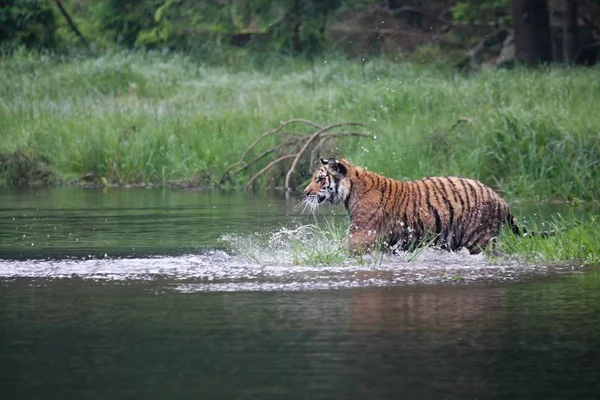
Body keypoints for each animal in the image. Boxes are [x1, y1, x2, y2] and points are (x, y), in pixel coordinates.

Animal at [300, 158, 544, 255]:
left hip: (479, 240)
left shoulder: (362, 234)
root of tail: (500, 198)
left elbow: (341, 248)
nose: (305, 192)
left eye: (319, 179)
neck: (351, 190)